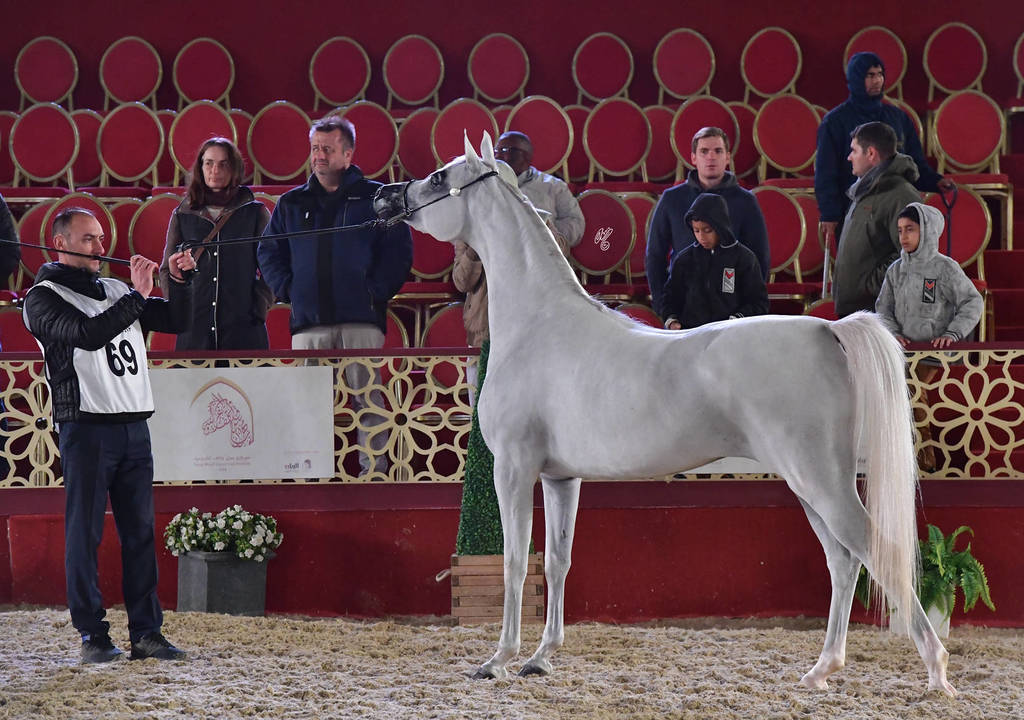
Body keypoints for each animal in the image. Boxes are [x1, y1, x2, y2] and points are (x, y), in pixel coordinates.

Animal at [373, 134, 955, 697]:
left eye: (439, 177)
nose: (384, 198)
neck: (540, 324)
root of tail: (828, 329)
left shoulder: (513, 468)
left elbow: (515, 563)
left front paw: (498, 661)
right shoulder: (561, 478)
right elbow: (557, 562)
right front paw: (541, 659)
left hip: (822, 480)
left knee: (875, 550)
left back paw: (936, 673)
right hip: (809, 484)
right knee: (843, 560)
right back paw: (821, 670)